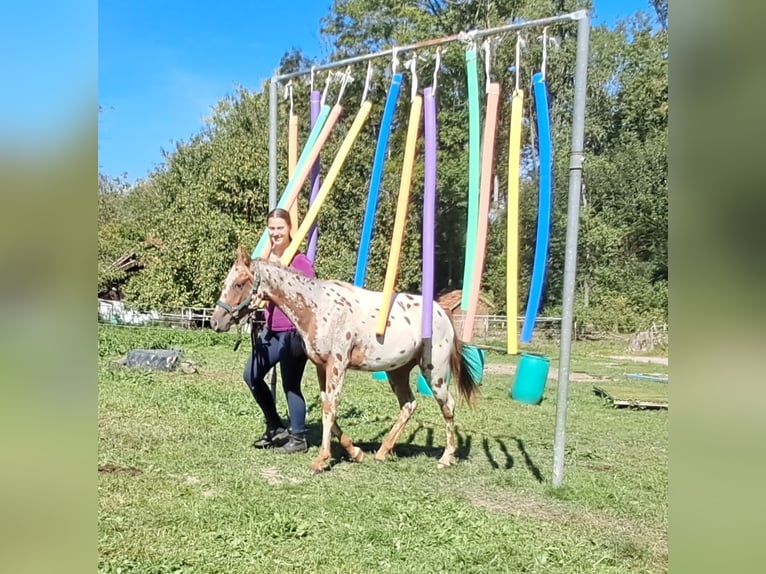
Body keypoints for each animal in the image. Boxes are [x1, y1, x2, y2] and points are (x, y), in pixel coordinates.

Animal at [210, 245, 480, 474]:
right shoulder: (322, 367)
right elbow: (328, 407)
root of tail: (443, 313)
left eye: (239, 284)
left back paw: (446, 458)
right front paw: (355, 452)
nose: (215, 321)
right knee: (409, 405)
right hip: (398, 371)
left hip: (434, 372)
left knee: (447, 406)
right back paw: (382, 452)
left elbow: (330, 408)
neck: (318, 308)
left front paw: (320, 460)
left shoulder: (337, 366)